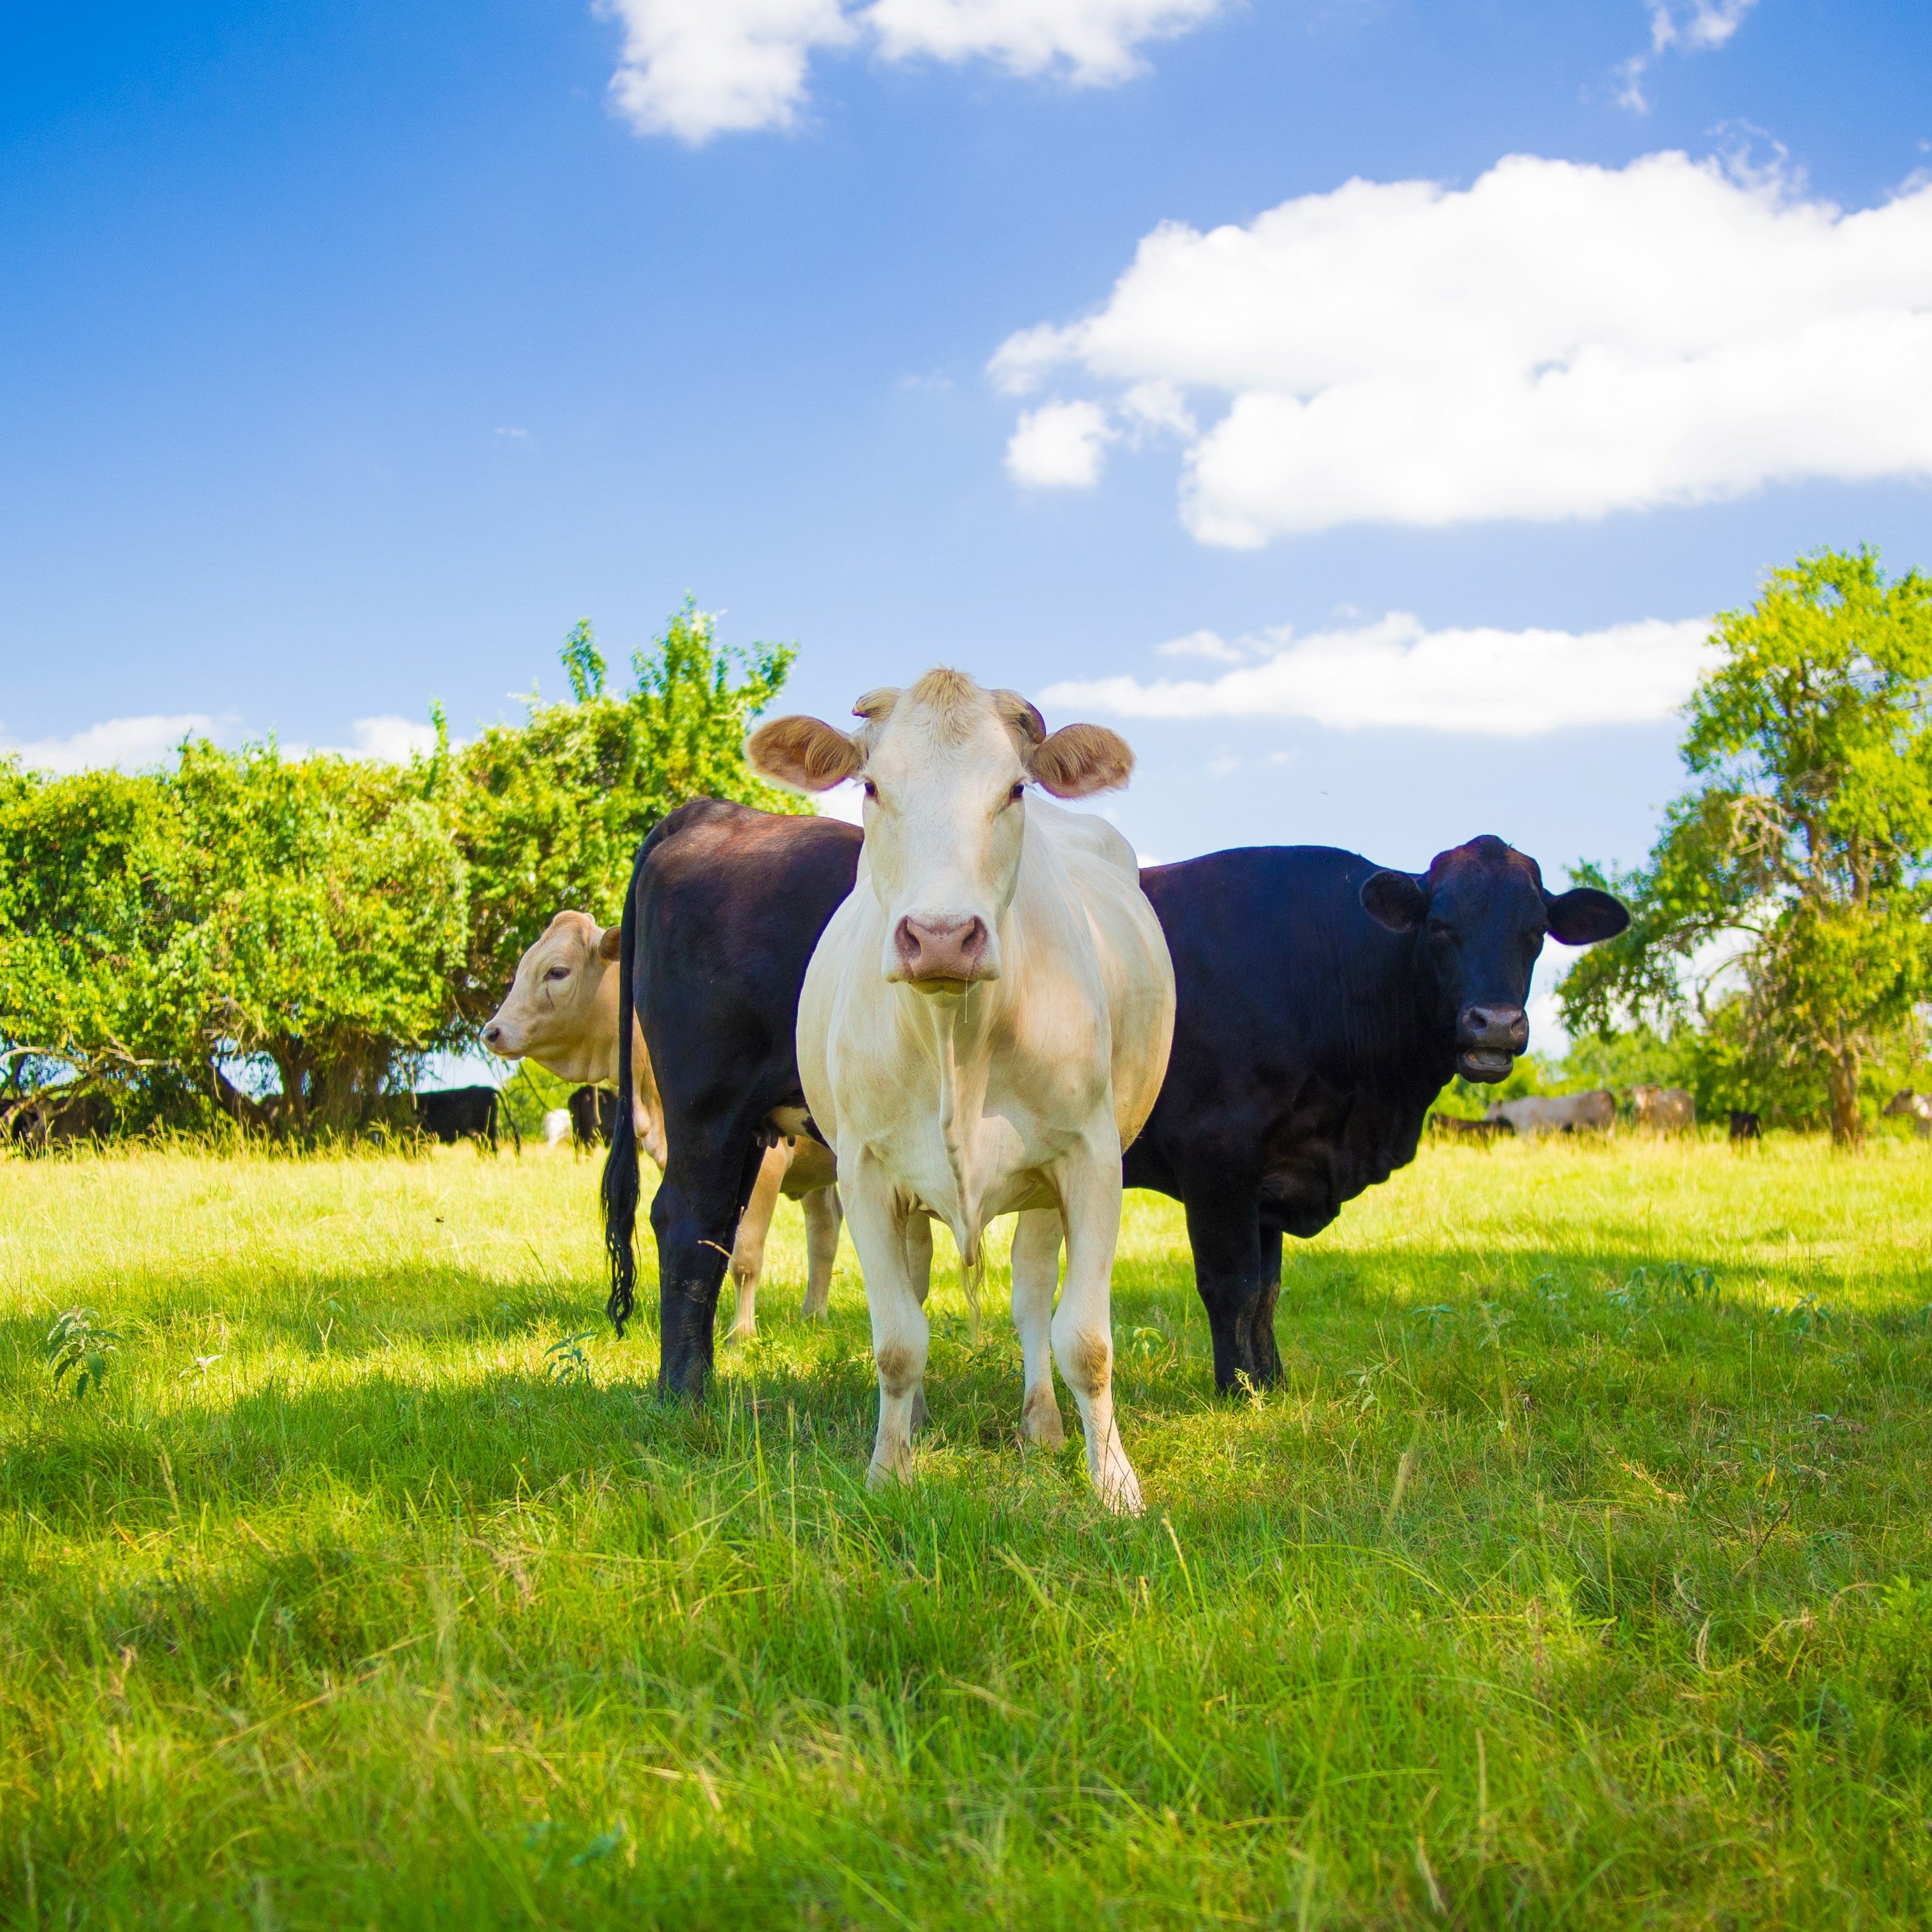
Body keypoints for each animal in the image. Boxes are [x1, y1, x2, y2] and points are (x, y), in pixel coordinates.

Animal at [484, 909, 843, 1339]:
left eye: (556, 971)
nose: (492, 1031)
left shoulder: (765, 1165)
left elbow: (743, 1257)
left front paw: (740, 1337)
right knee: (825, 1229)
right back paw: (814, 1317)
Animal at [748, 671, 1175, 1512]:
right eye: (871, 786)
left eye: (1012, 789)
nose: (941, 936)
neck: (955, 1037)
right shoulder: (863, 1170)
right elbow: (896, 1340)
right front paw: (889, 1469)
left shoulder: (1092, 1159)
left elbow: (1085, 1338)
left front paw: (1113, 1480)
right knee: (917, 1286)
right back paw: (914, 1419)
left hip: (1044, 1184)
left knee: (1032, 1292)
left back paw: (1041, 1423)